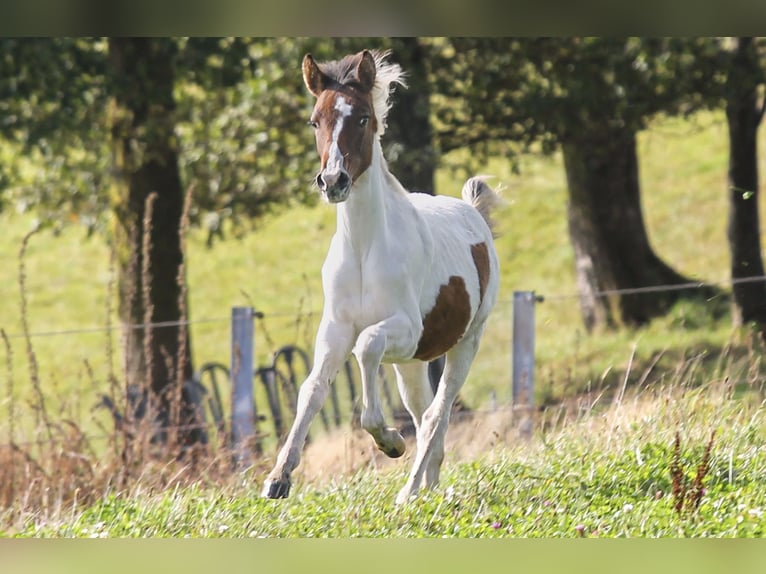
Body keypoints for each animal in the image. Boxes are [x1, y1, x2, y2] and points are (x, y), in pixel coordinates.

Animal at [262, 50, 504, 508]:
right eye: (315, 121)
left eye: (361, 118)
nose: (333, 181)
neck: (364, 249)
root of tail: (473, 213)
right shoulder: (335, 329)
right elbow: (312, 388)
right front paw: (278, 477)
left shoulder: (404, 330)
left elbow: (367, 346)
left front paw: (389, 441)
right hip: (411, 365)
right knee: (425, 414)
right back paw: (428, 487)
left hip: (466, 342)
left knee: (436, 413)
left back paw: (408, 491)